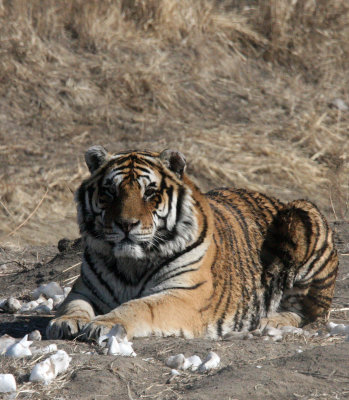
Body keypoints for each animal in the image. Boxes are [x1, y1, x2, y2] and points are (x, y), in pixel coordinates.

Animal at [45, 147, 338, 340]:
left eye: (149, 193)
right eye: (109, 192)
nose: (126, 224)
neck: (131, 263)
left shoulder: (184, 295)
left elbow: (138, 306)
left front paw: (105, 323)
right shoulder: (85, 289)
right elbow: (73, 304)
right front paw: (65, 321)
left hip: (303, 212)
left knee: (311, 314)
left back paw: (267, 322)